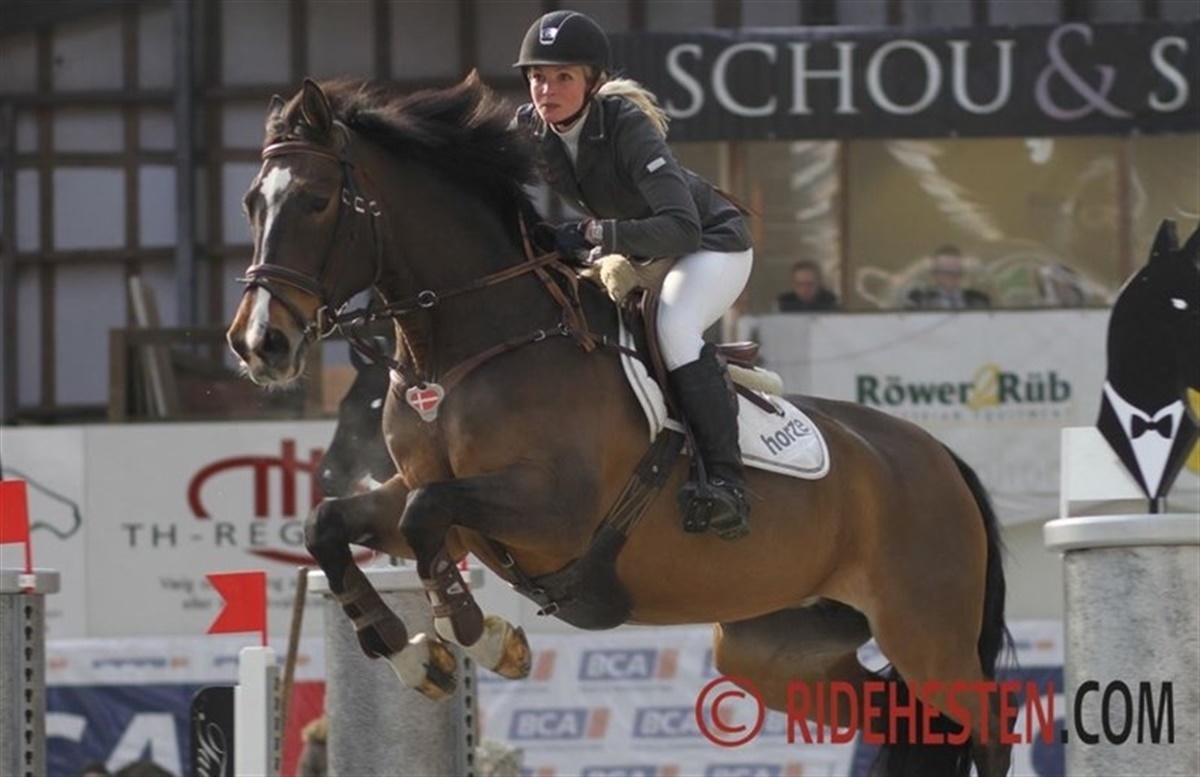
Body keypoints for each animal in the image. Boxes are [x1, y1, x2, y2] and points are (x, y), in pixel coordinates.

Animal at [226, 74, 1013, 777]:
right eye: (251, 203)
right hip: (776, 647)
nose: (259, 343)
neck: (468, 349)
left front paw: (485, 639)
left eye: (318, 201)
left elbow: (426, 515)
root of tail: (943, 460)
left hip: (926, 630)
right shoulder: (427, 498)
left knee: (987, 727)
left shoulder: (554, 511)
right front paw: (415, 655)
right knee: (903, 717)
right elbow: (332, 523)